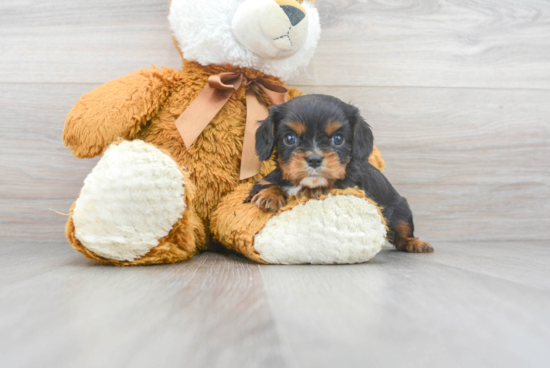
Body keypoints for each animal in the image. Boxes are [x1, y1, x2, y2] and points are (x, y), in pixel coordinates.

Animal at [247, 95, 436, 253]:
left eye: (338, 139)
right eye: (290, 138)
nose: (314, 159)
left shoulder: (351, 185)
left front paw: (313, 190)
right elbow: (266, 184)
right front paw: (269, 196)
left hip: (401, 209)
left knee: (402, 234)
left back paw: (415, 243)